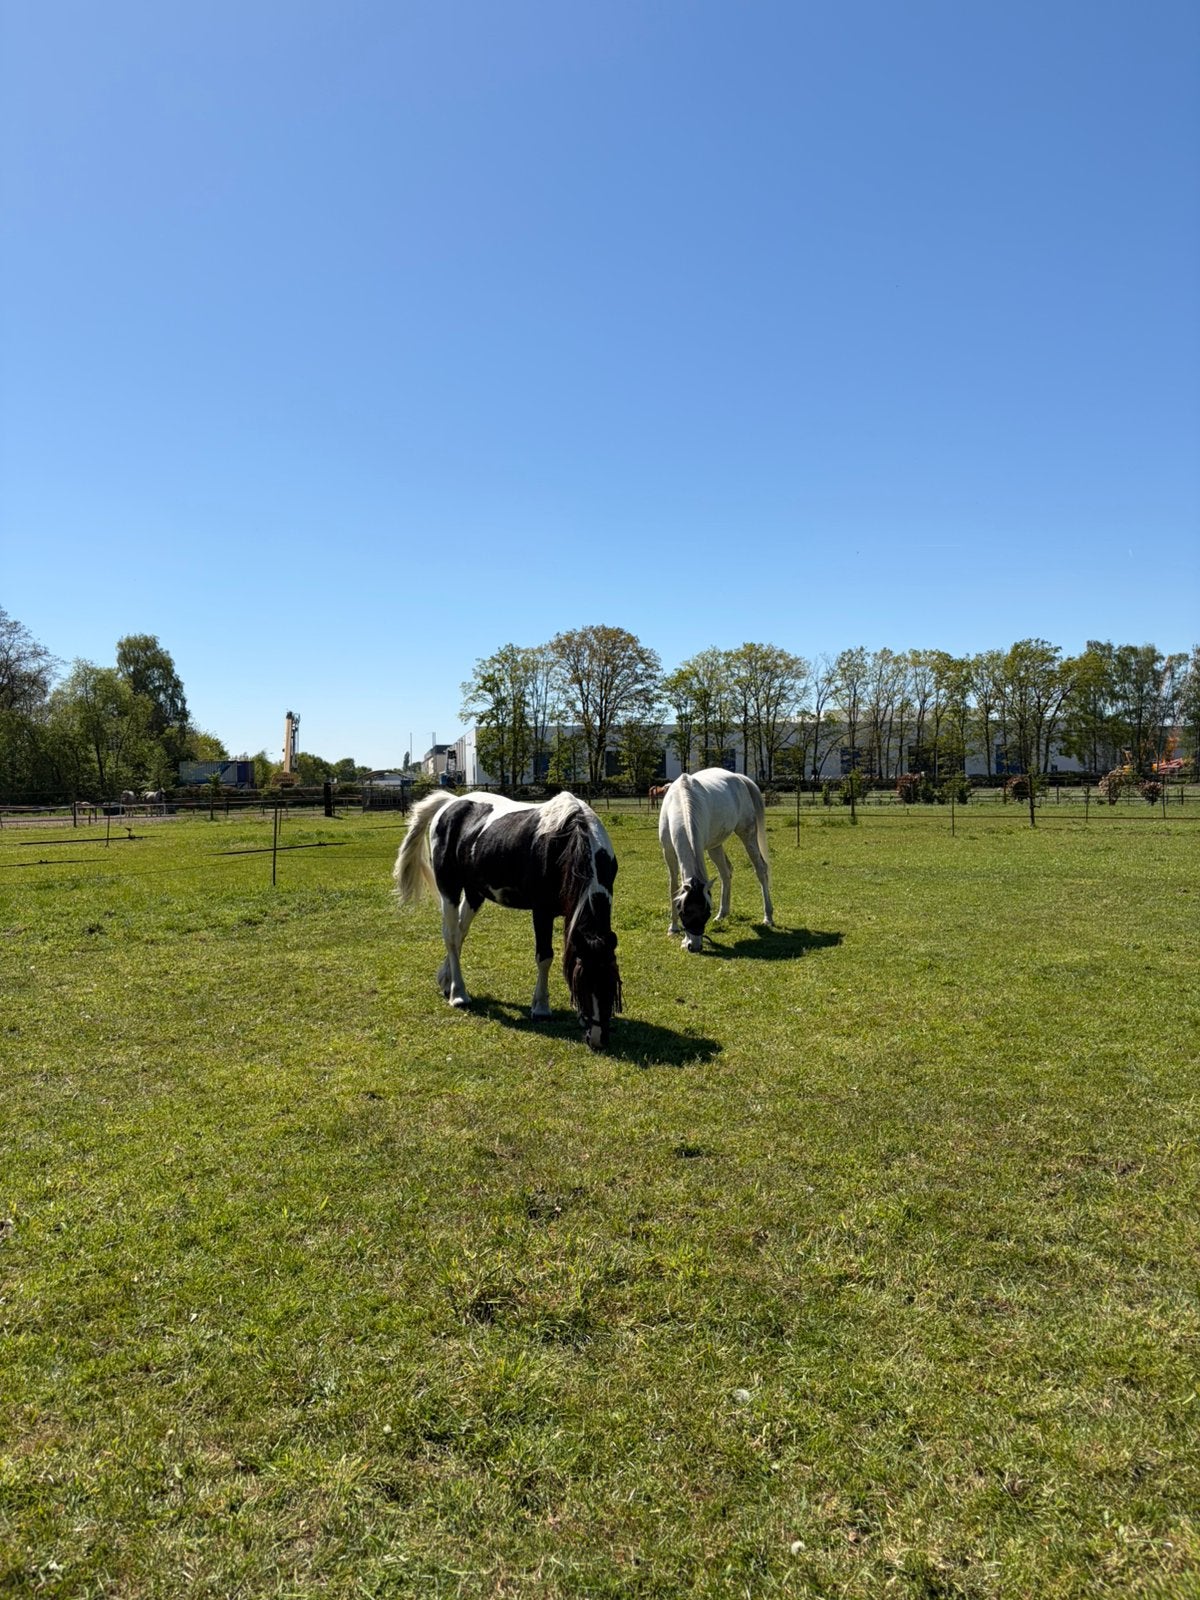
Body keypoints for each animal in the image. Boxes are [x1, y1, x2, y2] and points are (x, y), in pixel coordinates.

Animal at [394, 789, 623, 1051]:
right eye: (584, 985)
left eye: (612, 984)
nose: (597, 1039)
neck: (570, 839)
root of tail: (451, 802)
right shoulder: (541, 911)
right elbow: (545, 957)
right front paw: (541, 1008)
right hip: (449, 888)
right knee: (451, 937)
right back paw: (458, 994)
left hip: (475, 893)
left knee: (460, 933)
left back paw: (446, 981)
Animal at [659, 769, 774, 952]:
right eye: (684, 911)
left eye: (706, 913)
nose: (694, 946)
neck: (680, 803)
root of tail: (738, 778)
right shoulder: (668, 853)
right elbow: (673, 887)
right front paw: (673, 928)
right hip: (715, 846)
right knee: (726, 872)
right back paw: (722, 914)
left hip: (747, 834)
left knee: (760, 869)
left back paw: (768, 917)